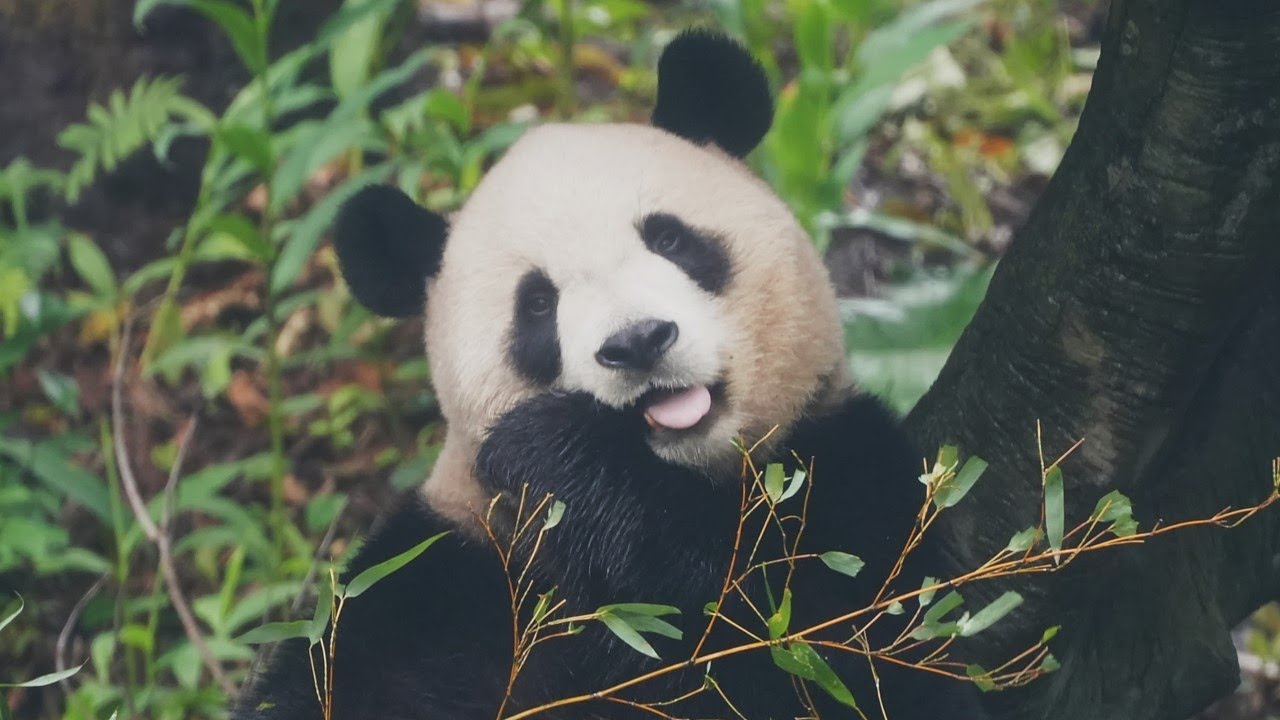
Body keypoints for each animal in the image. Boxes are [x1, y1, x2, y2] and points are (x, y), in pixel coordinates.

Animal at [236, 30, 990, 720]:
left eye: (670, 239)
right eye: (537, 304)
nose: (637, 341)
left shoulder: (848, 474)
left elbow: (836, 644)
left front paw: (554, 448)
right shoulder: (439, 577)